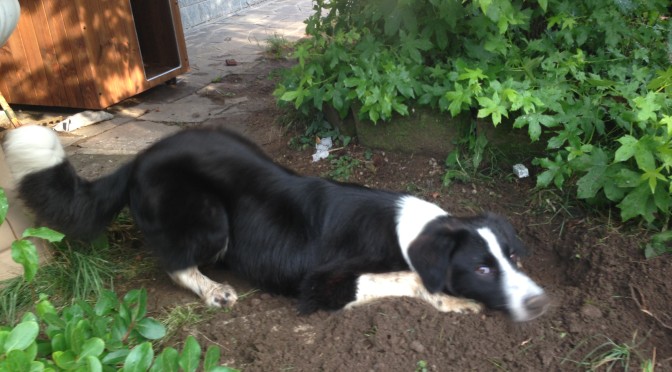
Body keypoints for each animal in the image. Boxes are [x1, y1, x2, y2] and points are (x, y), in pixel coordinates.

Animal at [2, 126, 548, 322]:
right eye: (481, 269)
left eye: (513, 257)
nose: (541, 303)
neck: (409, 232)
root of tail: (138, 158)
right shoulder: (322, 283)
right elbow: (407, 279)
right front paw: (453, 301)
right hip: (210, 220)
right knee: (175, 263)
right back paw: (214, 290)